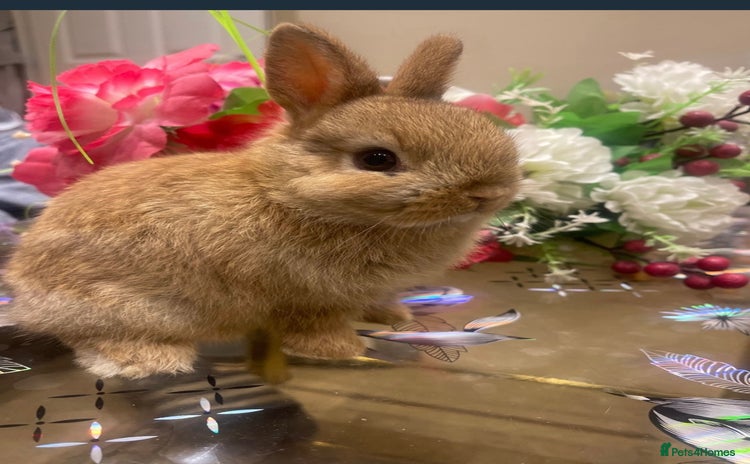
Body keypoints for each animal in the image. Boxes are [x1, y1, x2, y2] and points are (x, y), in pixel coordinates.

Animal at [4, 22, 520, 379]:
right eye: (378, 159)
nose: (488, 192)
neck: (289, 195)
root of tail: (25, 292)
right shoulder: (304, 298)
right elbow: (315, 330)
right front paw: (348, 349)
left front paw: (394, 316)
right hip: (129, 307)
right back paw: (153, 361)